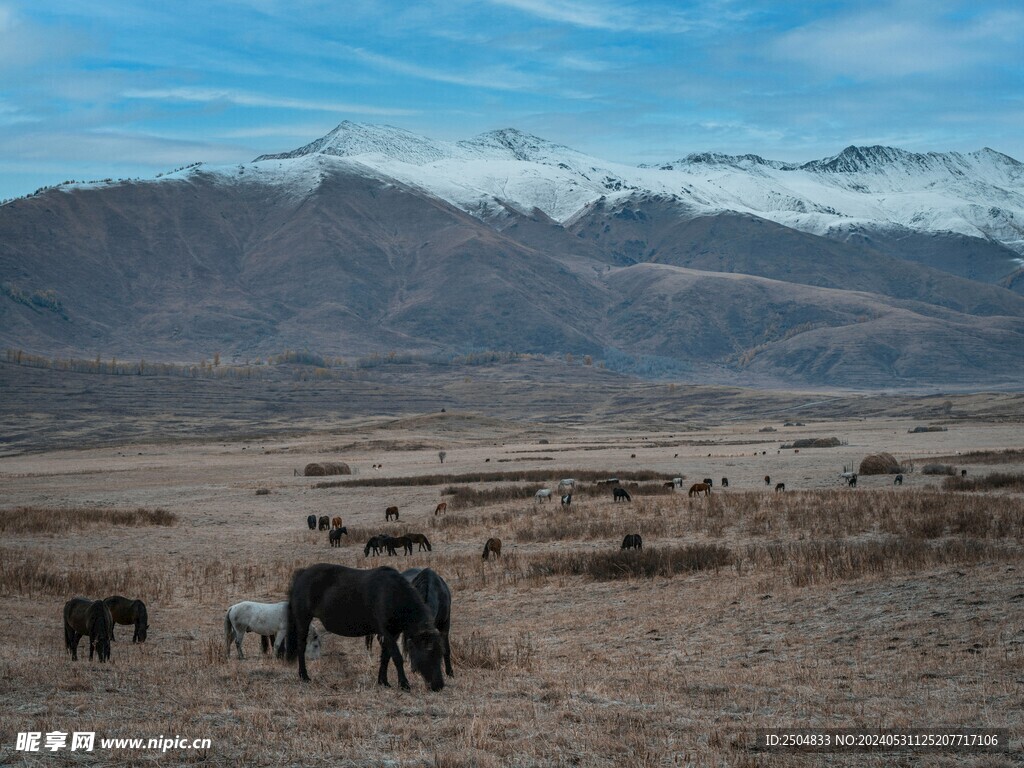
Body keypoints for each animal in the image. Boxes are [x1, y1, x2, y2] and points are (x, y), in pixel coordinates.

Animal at [285, 564, 445, 690]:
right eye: (428, 652)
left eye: (440, 654)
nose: (439, 685)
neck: (393, 594)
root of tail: (301, 574)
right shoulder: (386, 632)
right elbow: (396, 657)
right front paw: (404, 684)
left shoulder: (393, 633)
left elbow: (386, 657)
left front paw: (383, 681)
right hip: (303, 619)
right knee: (301, 646)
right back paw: (304, 676)